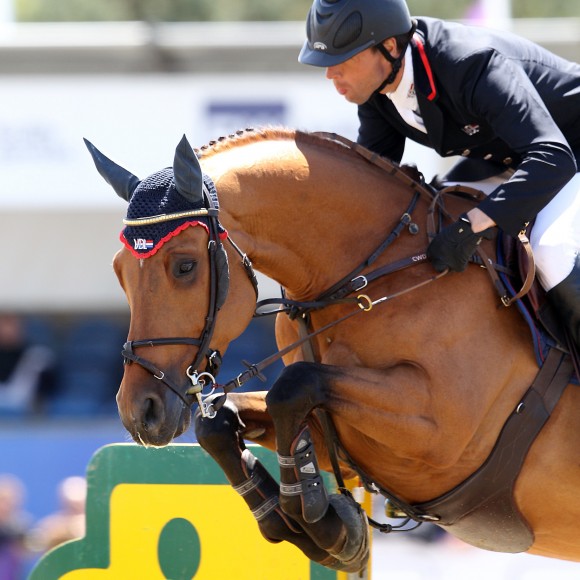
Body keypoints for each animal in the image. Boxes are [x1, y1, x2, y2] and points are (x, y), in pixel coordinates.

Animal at [86, 124, 580, 572]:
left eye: (185, 266)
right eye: (118, 271)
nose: (140, 413)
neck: (378, 275)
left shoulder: (443, 433)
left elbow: (294, 386)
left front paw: (323, 523)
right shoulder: (351, 449)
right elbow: (221, 423)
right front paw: (301, 521)